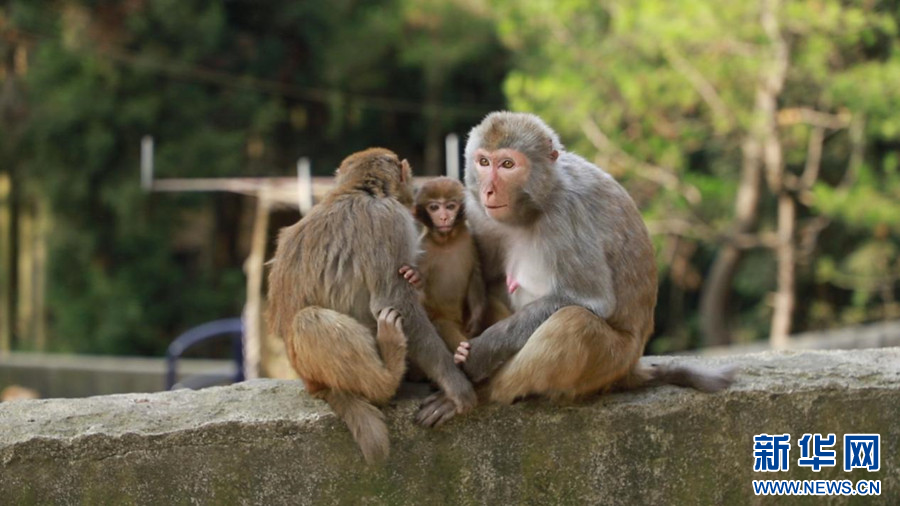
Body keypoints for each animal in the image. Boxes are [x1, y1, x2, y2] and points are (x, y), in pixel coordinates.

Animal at [400, 178, 486, 352]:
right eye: (434, 208)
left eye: (450, 207)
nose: (444, 217)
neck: (447, 242)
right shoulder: (423, 248)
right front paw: (414, 278)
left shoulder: (470, 239)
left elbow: (475, 275)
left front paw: (476, 320)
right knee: (444, 326)